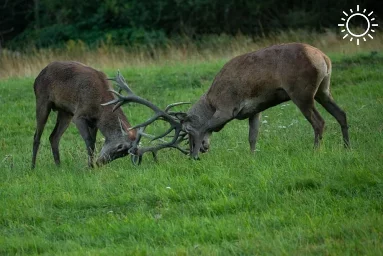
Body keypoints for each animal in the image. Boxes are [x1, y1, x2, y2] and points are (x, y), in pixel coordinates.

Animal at [103, 41, 350, 162]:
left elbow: (207, 126)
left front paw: (193, 156)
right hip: (324, 89)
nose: (202, 149)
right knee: (341, 113)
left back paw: (316, 152)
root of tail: (323, 57)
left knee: (319, 122)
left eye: (187, 131)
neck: (211, 101)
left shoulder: (227, 108)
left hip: (301, 92)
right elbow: (252, 136)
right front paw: (252, 158)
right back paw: (347, 147)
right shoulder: (255, 110)